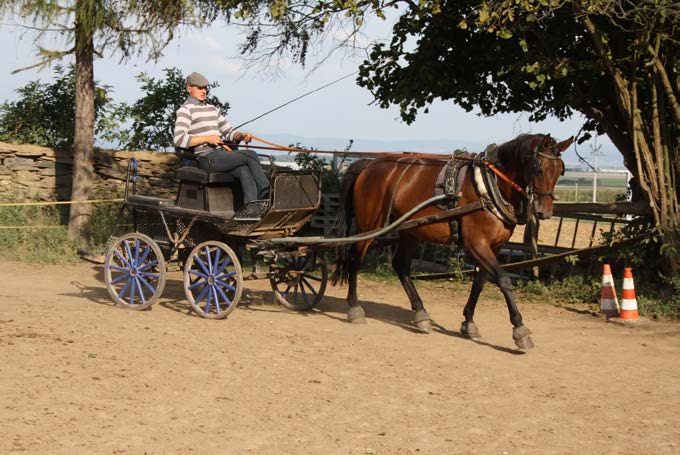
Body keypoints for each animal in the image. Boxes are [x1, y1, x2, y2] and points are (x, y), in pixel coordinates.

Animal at [332, 134, 572, 350]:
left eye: (560, 170)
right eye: (539, 170)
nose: (543, 212)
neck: (489, 187)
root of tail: (369, 164)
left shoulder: (493, 247)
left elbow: (480, 282)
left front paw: (468, 322)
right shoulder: (476, 244)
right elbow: (503, 279)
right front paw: (520, 329)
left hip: (411, 232)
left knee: (401, 266)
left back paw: (421, 314)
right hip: (369, 226)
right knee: (355, 259)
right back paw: (354, 308)